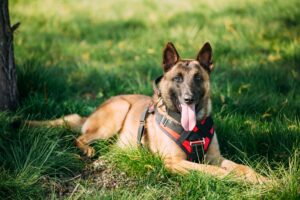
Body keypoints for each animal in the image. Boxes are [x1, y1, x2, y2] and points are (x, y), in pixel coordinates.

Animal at [28, 43, 268, 184]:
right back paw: (88, 149)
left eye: (198, 78)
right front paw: (235, 179)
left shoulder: (215, 157)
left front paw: (265, 180)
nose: (189, 98)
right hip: (117, 112)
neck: (192, 129)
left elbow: (243, 167)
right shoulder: (174, 162)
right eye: (178, 78)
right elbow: (215, 171)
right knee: (80, 137)